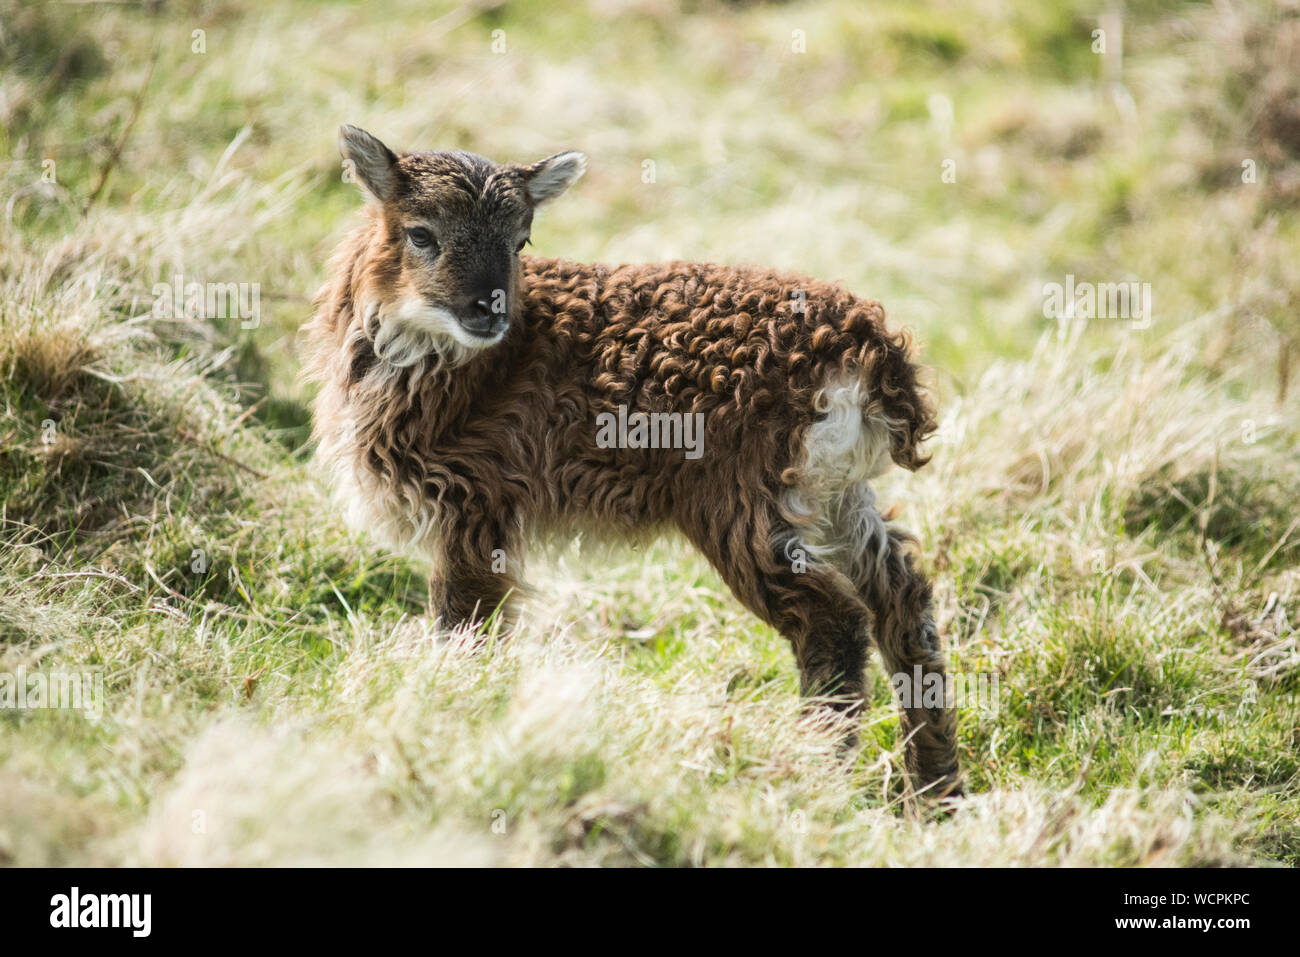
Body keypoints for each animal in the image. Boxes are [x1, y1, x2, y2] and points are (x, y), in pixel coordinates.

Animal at [299, 127, 961, 800]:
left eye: (520, 240)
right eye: (420, 233)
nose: (489, 310)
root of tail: (869, 356)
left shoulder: (477, 499)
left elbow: (464, 625)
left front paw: (451, 714)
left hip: (744, 497)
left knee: (834, 620)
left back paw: (818, 774)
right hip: (829, 492)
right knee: (903, 595)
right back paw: (935, 791)